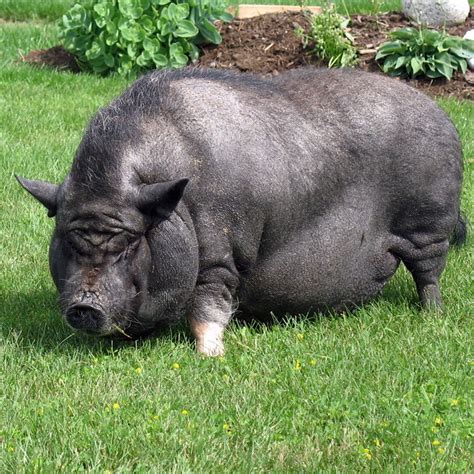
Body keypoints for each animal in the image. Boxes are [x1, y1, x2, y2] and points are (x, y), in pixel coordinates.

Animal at [16, 67, 464, 356]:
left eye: (128, 244)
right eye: (68, 240)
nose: (84, 305)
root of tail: (441, 113)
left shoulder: (221, 248)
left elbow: (209, 301)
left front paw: (209, 356)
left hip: (429, 221)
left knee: (428, 271)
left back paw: (432, 315)